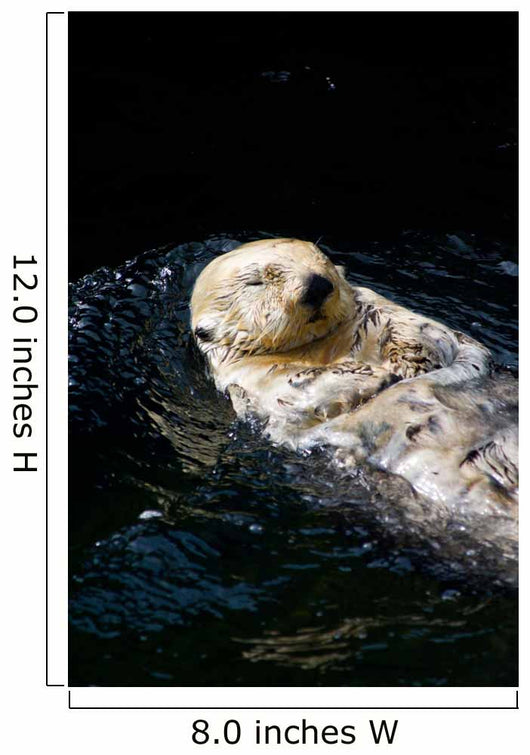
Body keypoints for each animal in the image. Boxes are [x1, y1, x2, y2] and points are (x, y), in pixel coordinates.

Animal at [190, 238, 518, 526]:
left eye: (321, 260)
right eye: (256, 282)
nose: (317, 284)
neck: (320, 347)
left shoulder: (376, 308)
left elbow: (414, 329)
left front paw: (405, 364)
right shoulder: (248, 380)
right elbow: (292, 394)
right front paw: (371, 375)